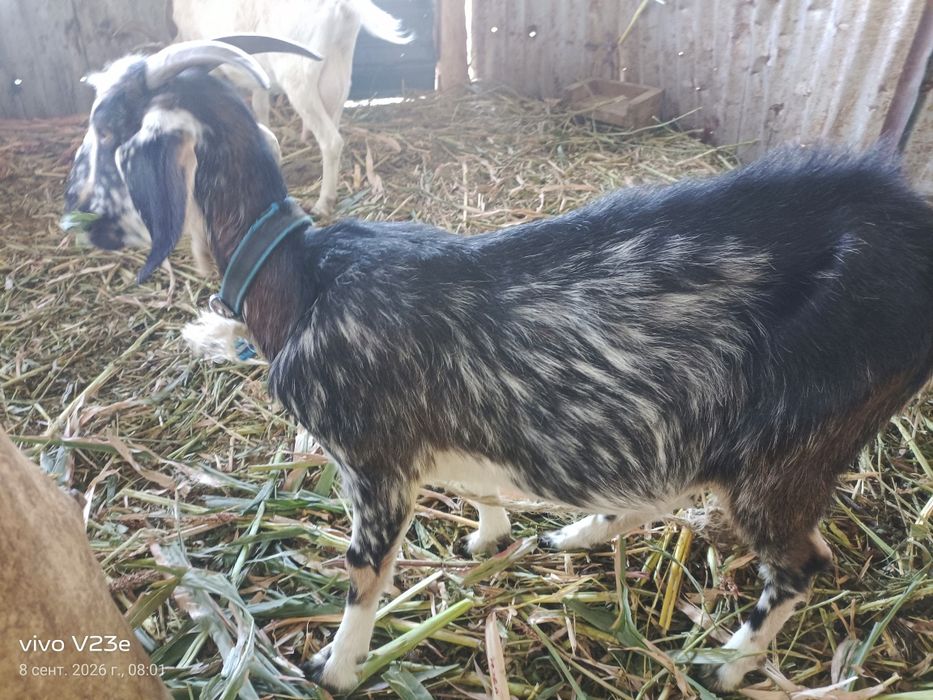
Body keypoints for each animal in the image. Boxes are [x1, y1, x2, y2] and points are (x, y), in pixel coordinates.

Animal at [63, 40, 933, 694]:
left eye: (105, 129)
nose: (76, 210)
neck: (301, 280)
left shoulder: (371, 458)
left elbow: (364, 571)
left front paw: (335, 666)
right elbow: (475, 479)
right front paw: (489, 536)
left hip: (793, 446)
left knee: (799, 562)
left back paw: (727, 663)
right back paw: (579, 531)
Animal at [171, 0, 411, 217]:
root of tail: (341, 5)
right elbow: (260, 105)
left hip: (298, 74)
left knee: (331, 140)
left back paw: (323, 203)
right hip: (339, 71)